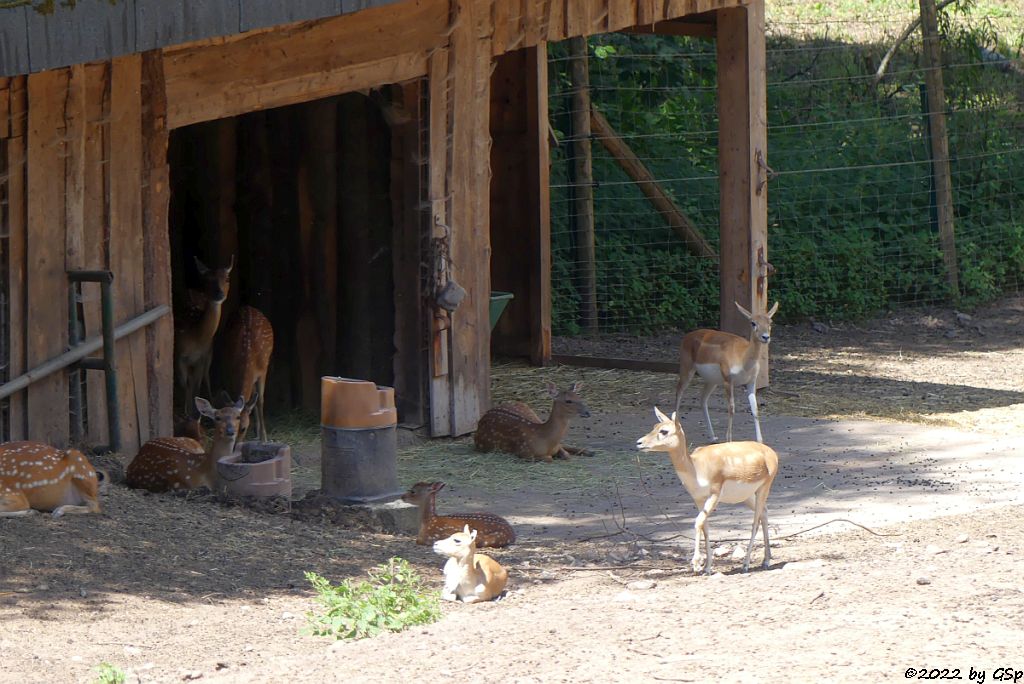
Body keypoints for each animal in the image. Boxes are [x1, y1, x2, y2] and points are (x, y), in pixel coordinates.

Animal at [175, 255, 233, 413]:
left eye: (227, 278)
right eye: (207, 280)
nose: (219, 293)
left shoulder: (202, 357)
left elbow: (197, 384)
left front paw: (196, 411)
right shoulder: (180, 357)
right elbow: (186, 386)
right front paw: (187, 413)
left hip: (209, 355)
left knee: (205, 377)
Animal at [219, 301, 274, 440]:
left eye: (243, 428)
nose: (235, 444)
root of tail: (247, 306)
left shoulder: (263, 370)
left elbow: (260, 400)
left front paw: (264, 438)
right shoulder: (230, 370)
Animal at [634, 409, 778, 573]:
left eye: (664, 431)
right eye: (654, 426)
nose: (639, 443)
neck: (696, 468)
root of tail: (770, 452)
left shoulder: (714, 495)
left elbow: (698, 523)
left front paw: (697, 563)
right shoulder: (698, 499)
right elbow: (705, 528)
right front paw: (707, 567)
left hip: (764, 488)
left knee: (755, 522)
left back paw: (746, 564)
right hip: (746, 496)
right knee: (764, 513)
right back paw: (766, 560)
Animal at [675, 301, 778, 444]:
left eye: (770, 322)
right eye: (753, 323)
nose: (765, 337)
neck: (743, 358)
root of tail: (687, 336)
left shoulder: (751, 382)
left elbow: (755, 409)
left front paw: (760, 441)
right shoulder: (728, 380)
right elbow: (731, 408)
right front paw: (729, 440)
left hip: (712, 381)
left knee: (702, 399)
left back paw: (713, 437)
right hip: (687, 370)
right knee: (679, 392)